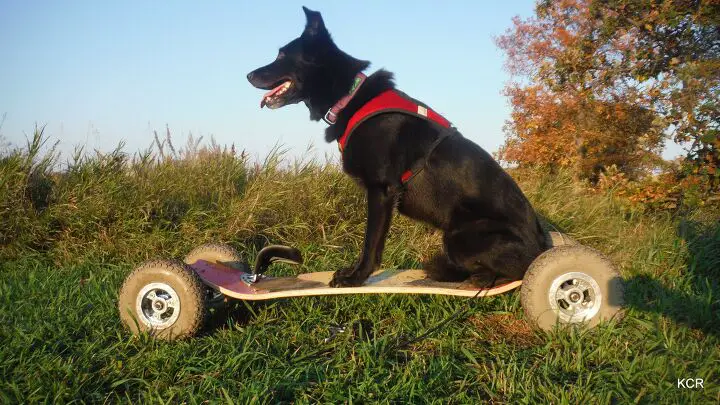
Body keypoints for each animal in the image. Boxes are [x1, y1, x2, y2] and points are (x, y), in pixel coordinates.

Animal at [248, 7, 544, 288]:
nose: (248, 74)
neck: (350, 97)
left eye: (282, 55)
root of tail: (540, 248)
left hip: (459, 236)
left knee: (508, 272)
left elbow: (370, 244)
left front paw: (355, 279)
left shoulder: (381, 190)